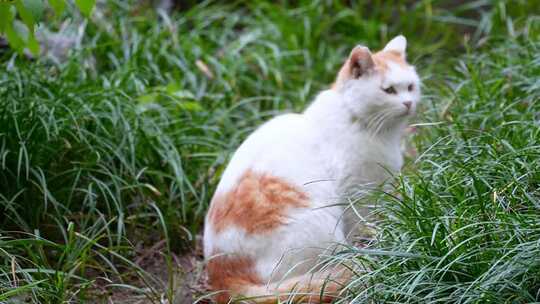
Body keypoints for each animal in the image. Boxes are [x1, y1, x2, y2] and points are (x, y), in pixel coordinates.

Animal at [205, 36, 420, 304]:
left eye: (410, 86)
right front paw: (378, 239)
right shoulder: (354, 193)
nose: (408, 102)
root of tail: (221, 276)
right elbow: (362, 222)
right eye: (388, 90)